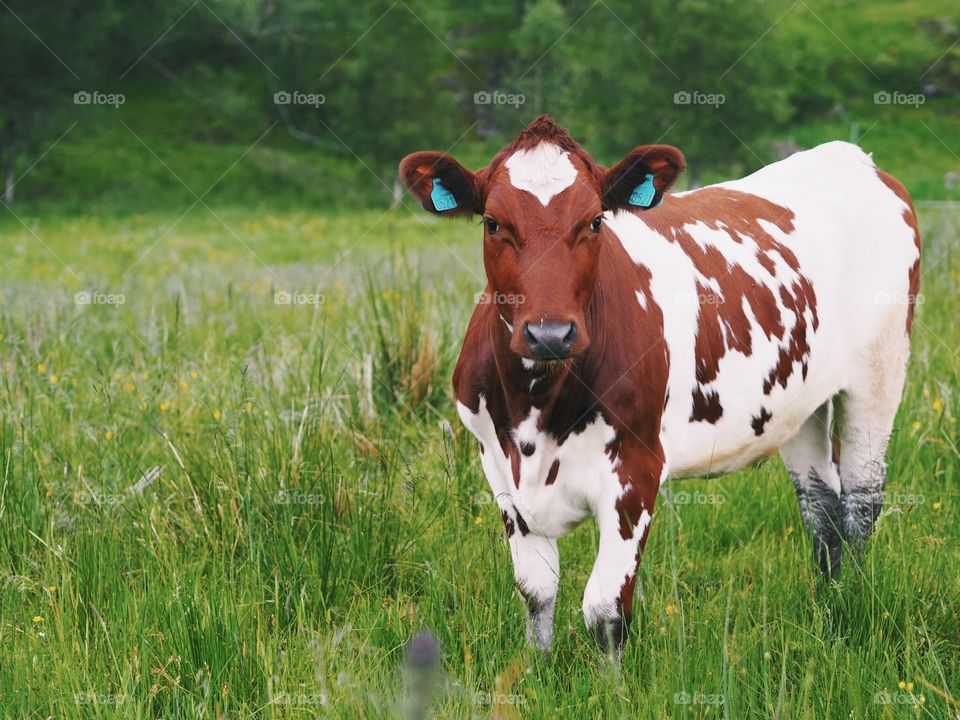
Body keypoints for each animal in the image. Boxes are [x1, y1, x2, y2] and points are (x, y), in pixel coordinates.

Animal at [399, 116, 920, 654]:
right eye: (493, 223)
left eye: (595, 222)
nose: (550, 333)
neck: (534, 410)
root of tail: (853, 157)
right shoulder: (500, 471)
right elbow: (535, 592)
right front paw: (536, 666)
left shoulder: (635, 469)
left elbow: (605, 610)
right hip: (800, 403)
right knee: (821, 506)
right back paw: (827, 602)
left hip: (880, 373)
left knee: (861, 497)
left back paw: (851, 601)